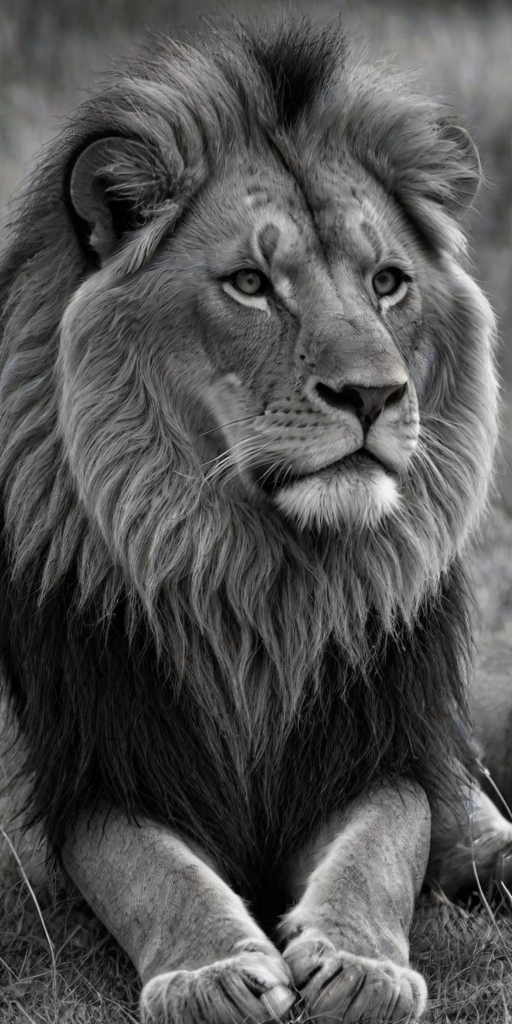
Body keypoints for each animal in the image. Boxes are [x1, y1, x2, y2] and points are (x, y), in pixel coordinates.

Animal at [1, 13, 512, 1024]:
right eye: (249, 284)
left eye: (387, 282)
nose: (374, 394)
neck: (263, 586)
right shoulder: (93, 767)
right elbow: (146, 869)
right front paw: (211, 973)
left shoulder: (381, 743)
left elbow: (385, 844)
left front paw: (359, 964)